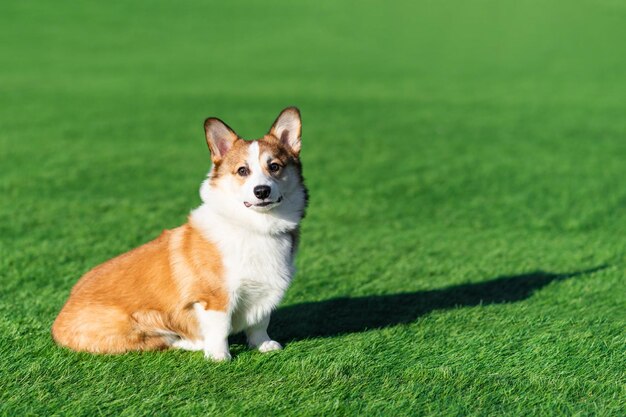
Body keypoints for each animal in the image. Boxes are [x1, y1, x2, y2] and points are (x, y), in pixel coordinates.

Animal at [51, 108, 308, 360]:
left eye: (274, 166)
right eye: (242, 171)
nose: (262, 191)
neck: (255, 227)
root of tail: (58, 321)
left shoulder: (262, 293)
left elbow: (260, 323)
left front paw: (264, 345)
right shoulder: (215, 298)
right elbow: (220, 328)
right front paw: (219, 357)